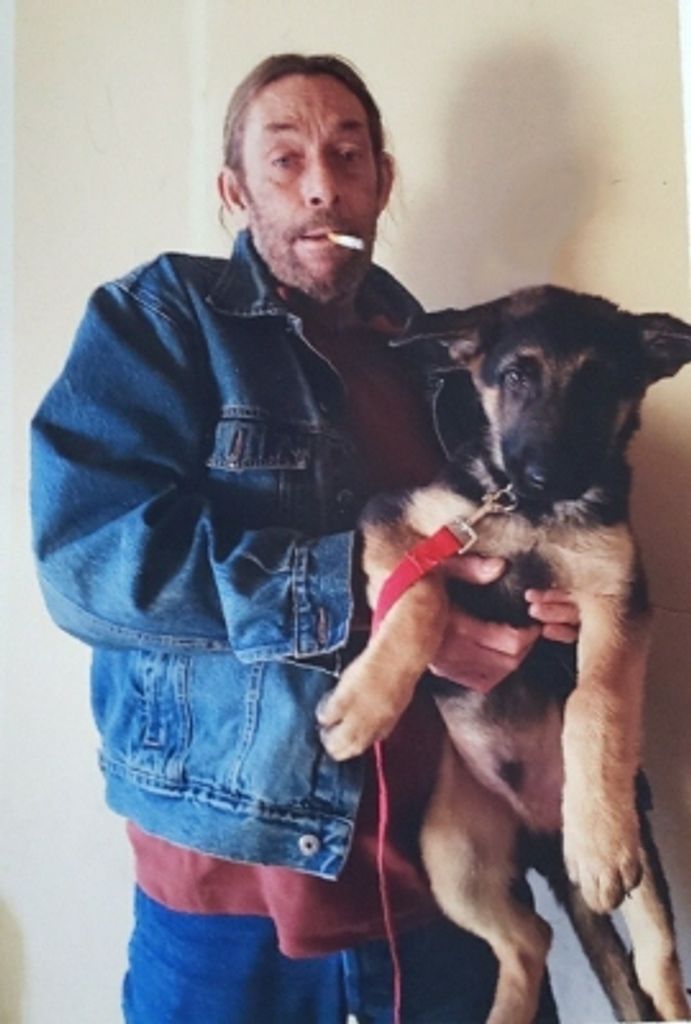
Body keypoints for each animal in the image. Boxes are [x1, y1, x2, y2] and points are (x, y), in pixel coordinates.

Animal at [317, 285, 691, 1023]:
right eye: (516, 375)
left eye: (601, 382)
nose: (545, 474)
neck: (532, 514)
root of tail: (541, 834)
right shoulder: (399, 520)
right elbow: (418, 599)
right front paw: (367, 706)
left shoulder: (617, 597)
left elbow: (596, 697)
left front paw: (597, 838)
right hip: (450, 856)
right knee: (530, 939)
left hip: (637, 840)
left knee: (657, 961)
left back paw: (597, 848)